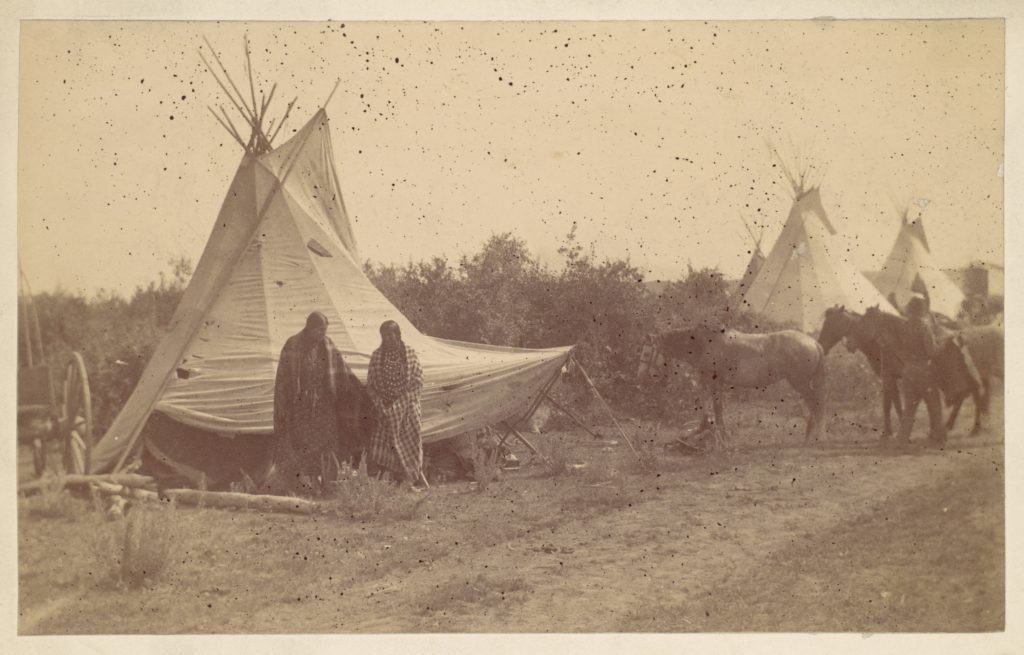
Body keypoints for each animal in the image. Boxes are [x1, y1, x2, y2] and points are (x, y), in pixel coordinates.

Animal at [634, 325, 827, 442]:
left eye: (646, 354)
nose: (640, 377)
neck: (704, 344)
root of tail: (814, 342)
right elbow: (712, 409)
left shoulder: (714, 383)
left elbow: (717, 409)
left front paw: (723, 438)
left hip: (800, 382)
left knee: (815, 404)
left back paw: (814, 437)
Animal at [819, 304, 901, 438]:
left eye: (831, 323)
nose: (821, 345)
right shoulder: (888, 378)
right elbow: (890, 403)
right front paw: (888, 432)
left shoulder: (889, 377)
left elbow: (893, 403)